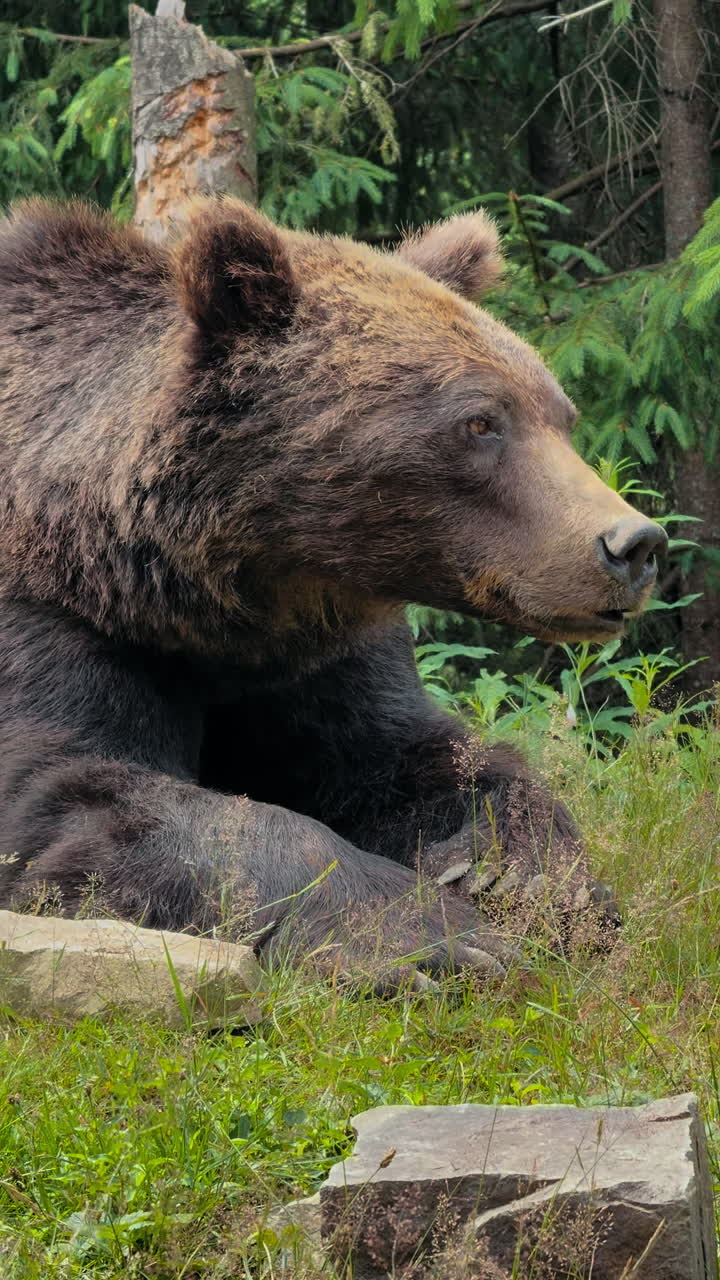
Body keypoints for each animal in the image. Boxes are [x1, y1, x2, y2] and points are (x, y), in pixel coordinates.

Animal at [0, 197, 666, 985]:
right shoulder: (55, 615)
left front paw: (524, 877)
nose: (635, 545)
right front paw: (431, 937)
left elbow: (420, 759)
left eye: (561, 416)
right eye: (479, 421)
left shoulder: (324, 651)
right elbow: (71, 788)